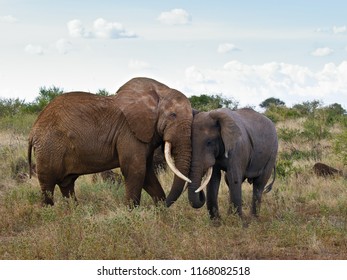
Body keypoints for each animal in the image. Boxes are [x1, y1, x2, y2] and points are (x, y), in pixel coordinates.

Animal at [27, 77, 193, 207]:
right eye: (173, 115)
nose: (166, 204)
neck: (159, 92)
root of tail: (33, 129)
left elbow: (146, 172)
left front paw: (160, 211)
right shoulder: (129, 133)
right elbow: (135, 170)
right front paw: (132, 214)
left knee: (67, 185)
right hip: (49, 147)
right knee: (48, 186)